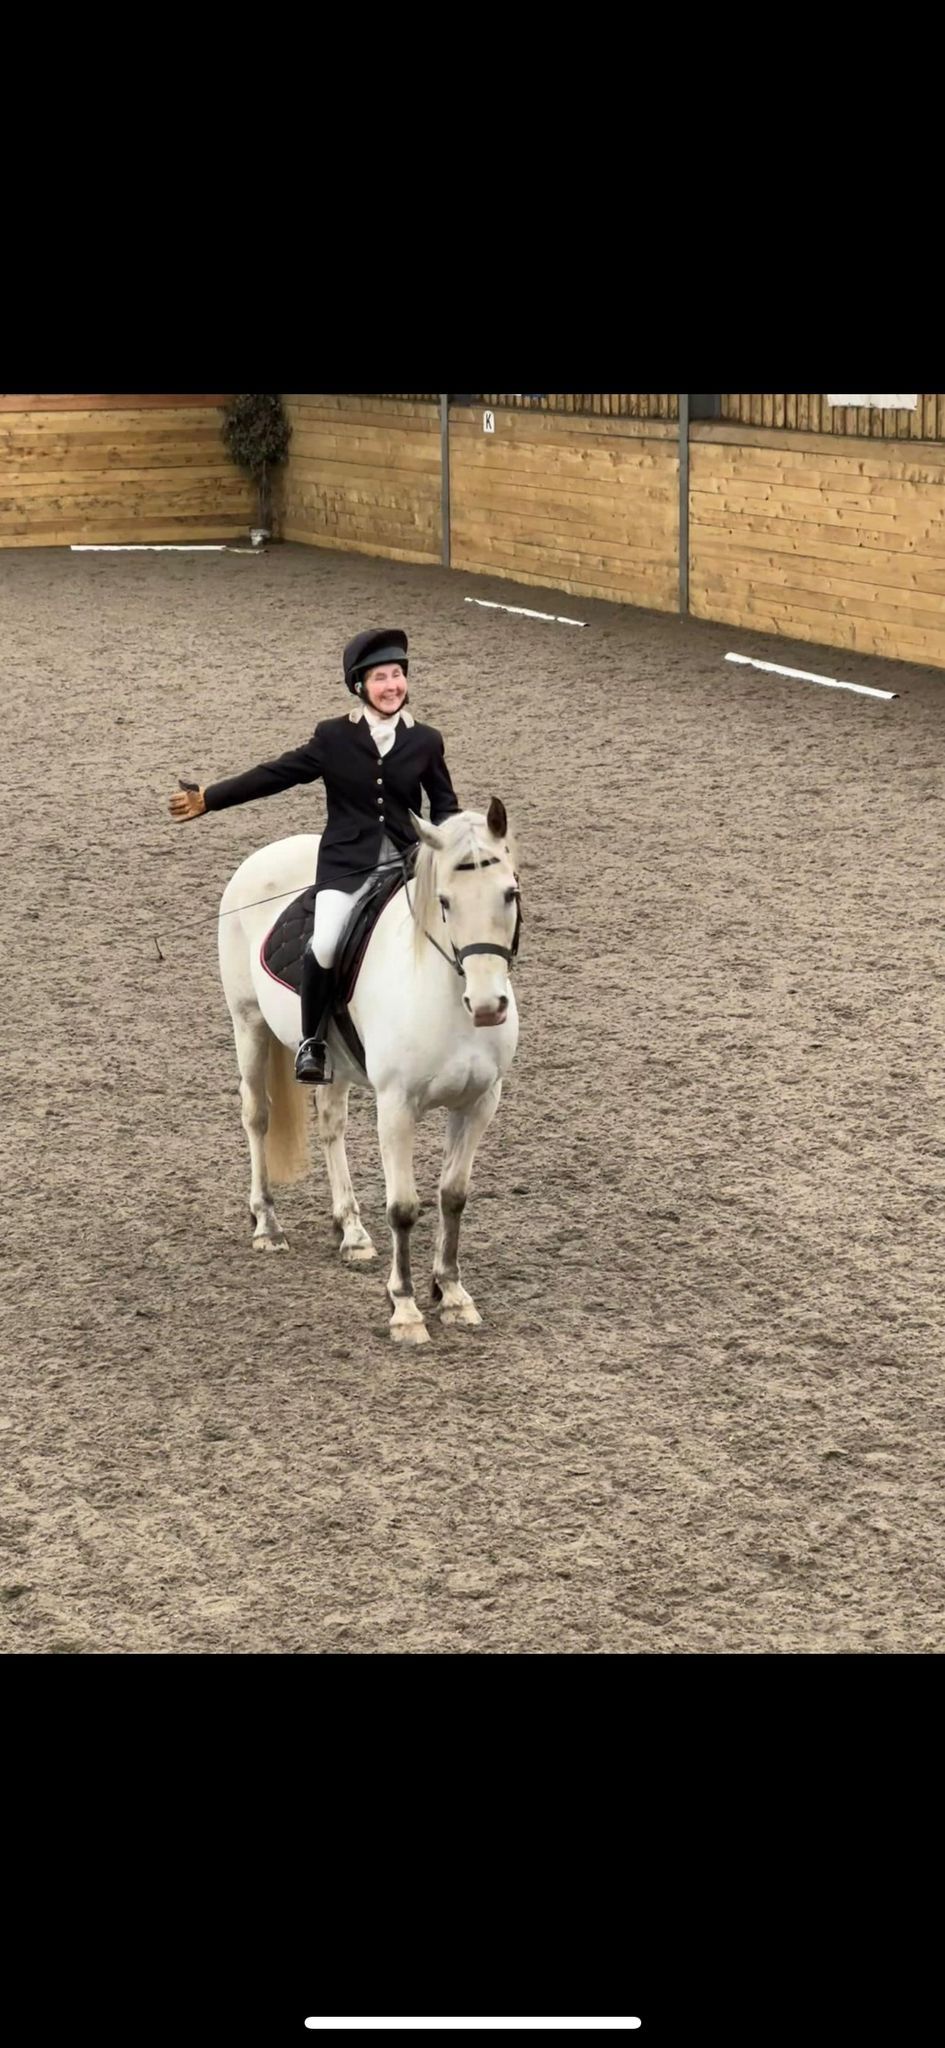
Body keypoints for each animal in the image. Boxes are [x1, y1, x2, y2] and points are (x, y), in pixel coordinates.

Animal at [216, 798, 518, 1343]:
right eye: (444, 901)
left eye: (510, 893)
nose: (487, 1007)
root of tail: (270, 851)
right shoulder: (396, 1106)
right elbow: (403, 1207)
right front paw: (405, 1308)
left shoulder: (479, 1102)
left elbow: (453, 1196)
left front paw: (453, 1294)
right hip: (248, 1022)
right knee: (257, 1116)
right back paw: (267, 1224)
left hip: (330, 1062)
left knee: (330, 1123)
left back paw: (351, 1232)